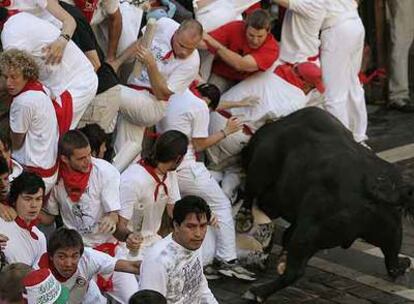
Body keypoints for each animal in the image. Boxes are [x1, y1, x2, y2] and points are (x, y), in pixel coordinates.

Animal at [239, 108, 414, 302]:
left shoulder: (258, 176)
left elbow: (249, 196)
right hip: (392, 232)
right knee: (392, 261)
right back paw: (404, 264)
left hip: (306, 236)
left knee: (294, 272)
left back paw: (257, 292)